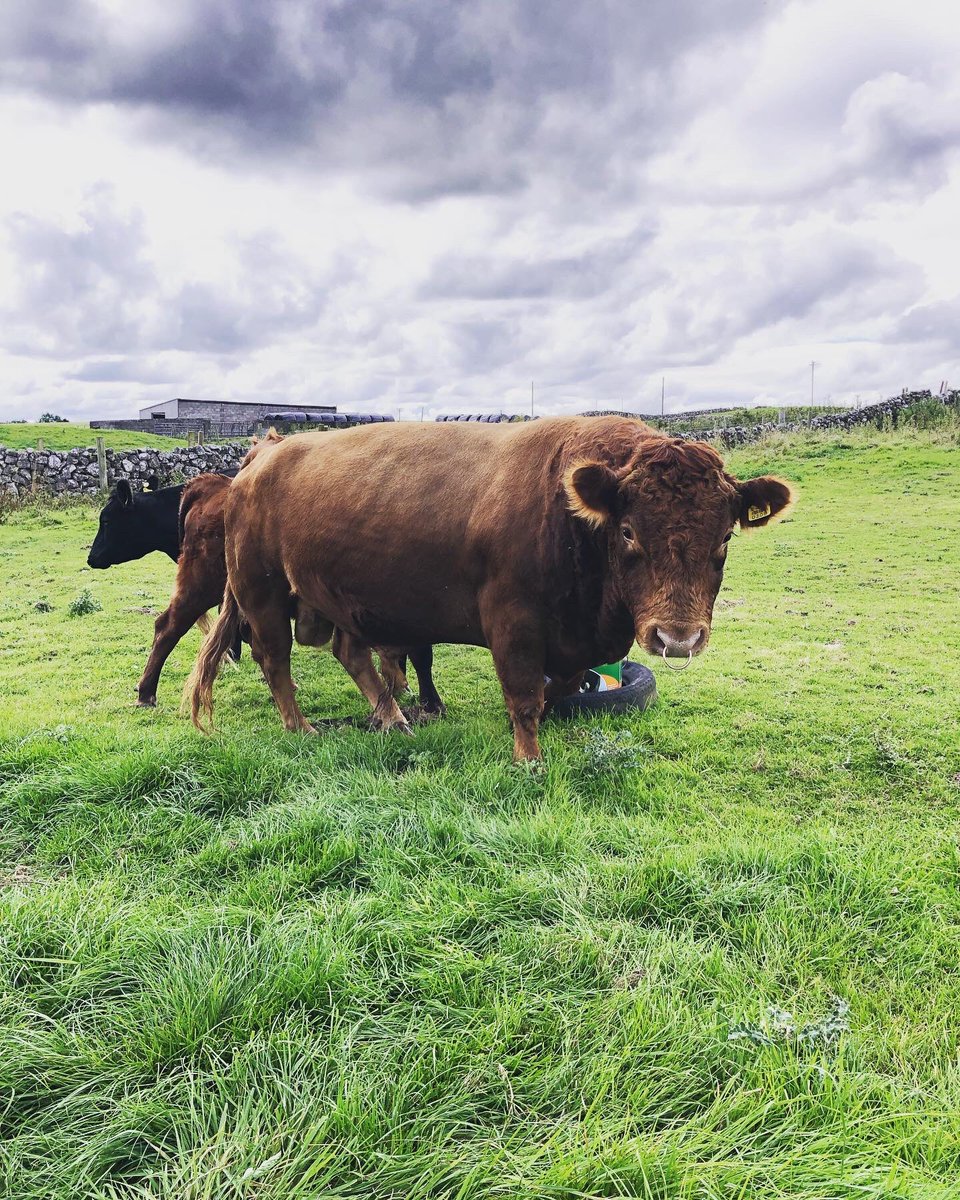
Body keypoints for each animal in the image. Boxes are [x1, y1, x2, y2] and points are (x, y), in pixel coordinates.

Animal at [188, 417, 793, 760]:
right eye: (627, 531)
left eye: (724, 537)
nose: (678, 637)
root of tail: (262, 455)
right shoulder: (513, 623)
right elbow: (524, 695)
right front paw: (528, 758)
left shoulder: (571, 644)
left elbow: (557, 689)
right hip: (262, 593)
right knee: (276, 661)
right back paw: (303, 727)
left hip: (340, 598)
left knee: (350, 653)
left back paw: (393, 718)